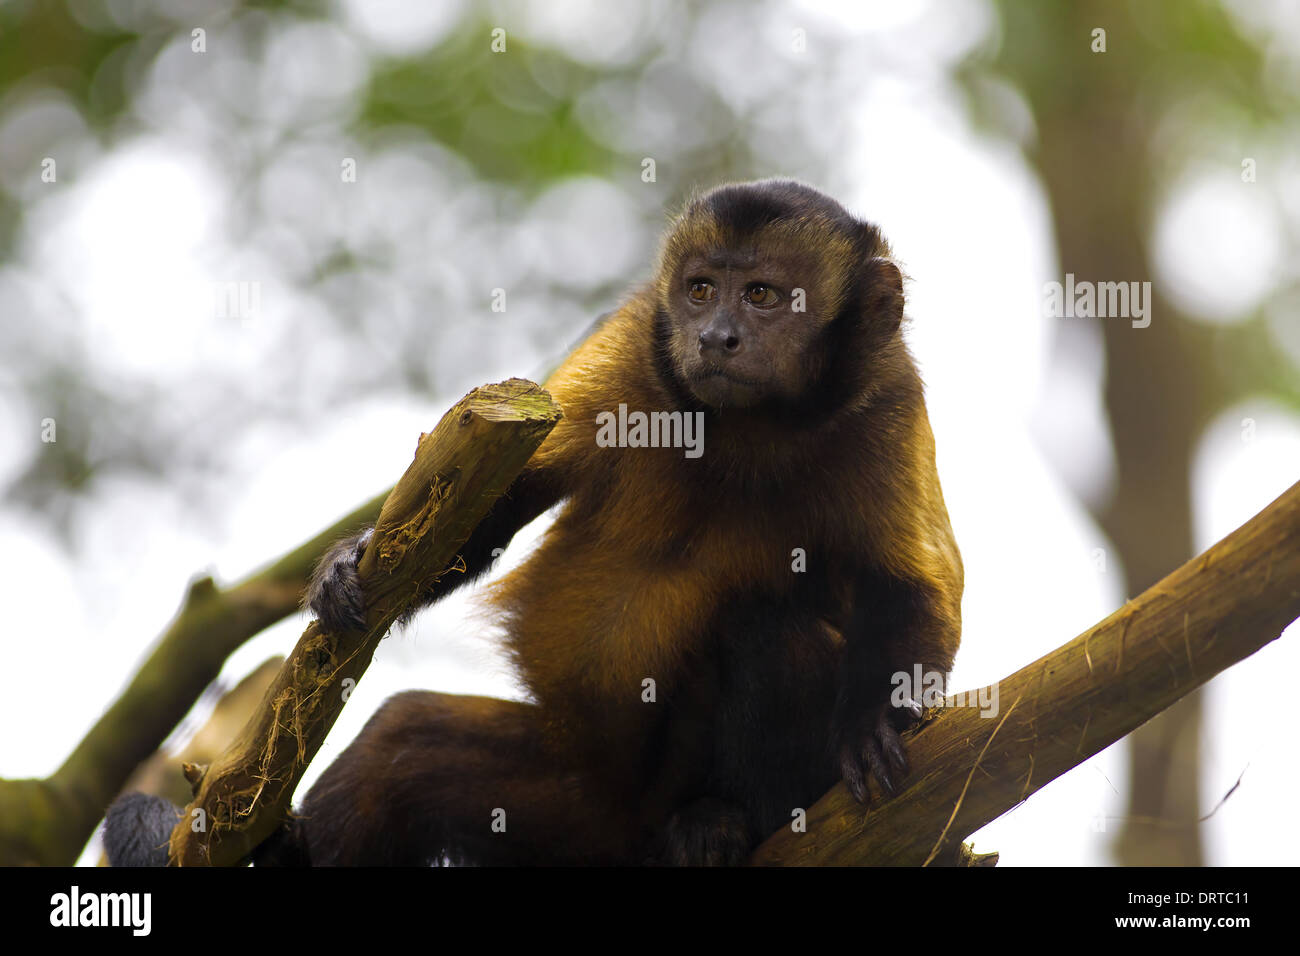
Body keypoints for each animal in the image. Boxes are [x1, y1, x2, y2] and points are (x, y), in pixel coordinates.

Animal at [104, 178, 967, 868]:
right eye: (698, 289)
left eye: (761, 296)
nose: (714, 336)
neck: (748, 426)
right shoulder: (634, 343)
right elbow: (494, 498)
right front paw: (351, 559)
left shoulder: (887, 398)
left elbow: (915, 588)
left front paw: (872, 725)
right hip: (572, 803)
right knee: (400, 740)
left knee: (768, 627)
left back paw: (724, 823)